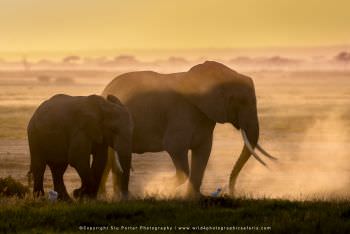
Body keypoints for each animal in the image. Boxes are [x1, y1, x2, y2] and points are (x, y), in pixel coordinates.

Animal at [100, 61, 274, 198]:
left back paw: (109, 197)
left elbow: (203, 151)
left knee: (109, 159)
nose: (230, 192)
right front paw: (159, 187)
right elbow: (175, 147)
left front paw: (193, 198)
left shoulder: (205, 117)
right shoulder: (180, 113)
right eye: (241, 102)